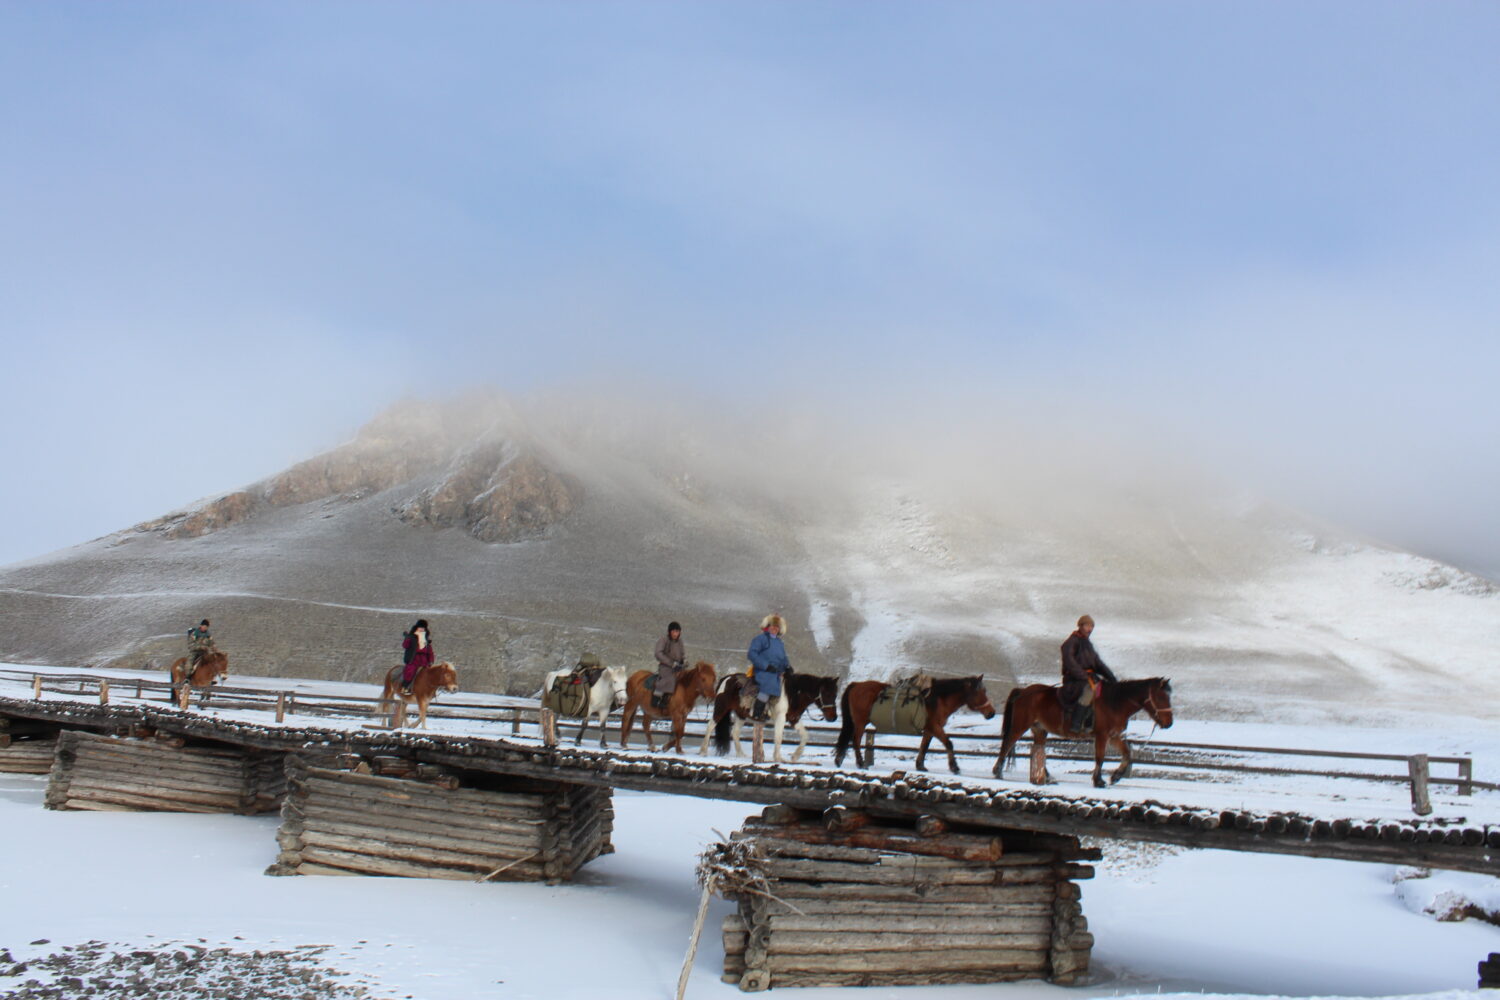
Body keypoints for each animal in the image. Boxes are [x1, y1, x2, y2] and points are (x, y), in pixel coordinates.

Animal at [696, 671, 840, 767]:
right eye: (827, 694)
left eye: (835, 694)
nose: (833, 717)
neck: (792, 694)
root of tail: (727, 678)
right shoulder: (781, 718)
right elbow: (778, 737)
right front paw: (778, 758)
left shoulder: (793, 719)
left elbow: (805, 735)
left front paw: (795, 756)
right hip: (721, 708)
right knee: (710, 725)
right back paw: (703, 751)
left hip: (741, 714)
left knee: (735, 732)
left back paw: (741, 754)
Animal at [834, 677, 996, 779]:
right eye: (980, 692)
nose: (992, 713)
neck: (938, 699)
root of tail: (856, 684)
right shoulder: (935, 726)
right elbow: (948, 743)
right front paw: (954, 767)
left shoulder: (930, 729)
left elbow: (924, 746)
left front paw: (920, 765)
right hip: (860, 722)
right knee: (855, 740)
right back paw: (860, 763)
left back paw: (840, 759)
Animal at [996, 680, 1170, 791]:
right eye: (1161, 697)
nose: (1169, 723)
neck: (1114, 703)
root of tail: (1023, 691)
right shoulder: (1102, 735)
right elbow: (1100, 757)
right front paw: (1098, 781)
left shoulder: (1113, 736)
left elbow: (1127, 753)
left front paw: (1116, 776)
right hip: (1020, 726)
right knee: (1007, 743)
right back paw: (998, 771)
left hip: (1040, 730)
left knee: (1038, 750)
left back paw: (1048, 777)